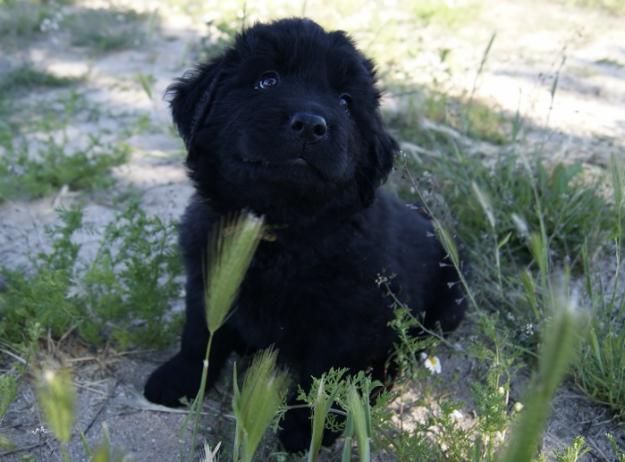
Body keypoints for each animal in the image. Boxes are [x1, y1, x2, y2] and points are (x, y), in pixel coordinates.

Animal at [143, 17, 464, 452]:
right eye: (267, 80)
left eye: (345, 101)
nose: (311, 125)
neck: (275, 232)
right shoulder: (207, 277)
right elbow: (198, 334)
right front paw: (178, 379)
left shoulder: (345, 323)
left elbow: (321, 376)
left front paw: (307, 428)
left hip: (445, 307)